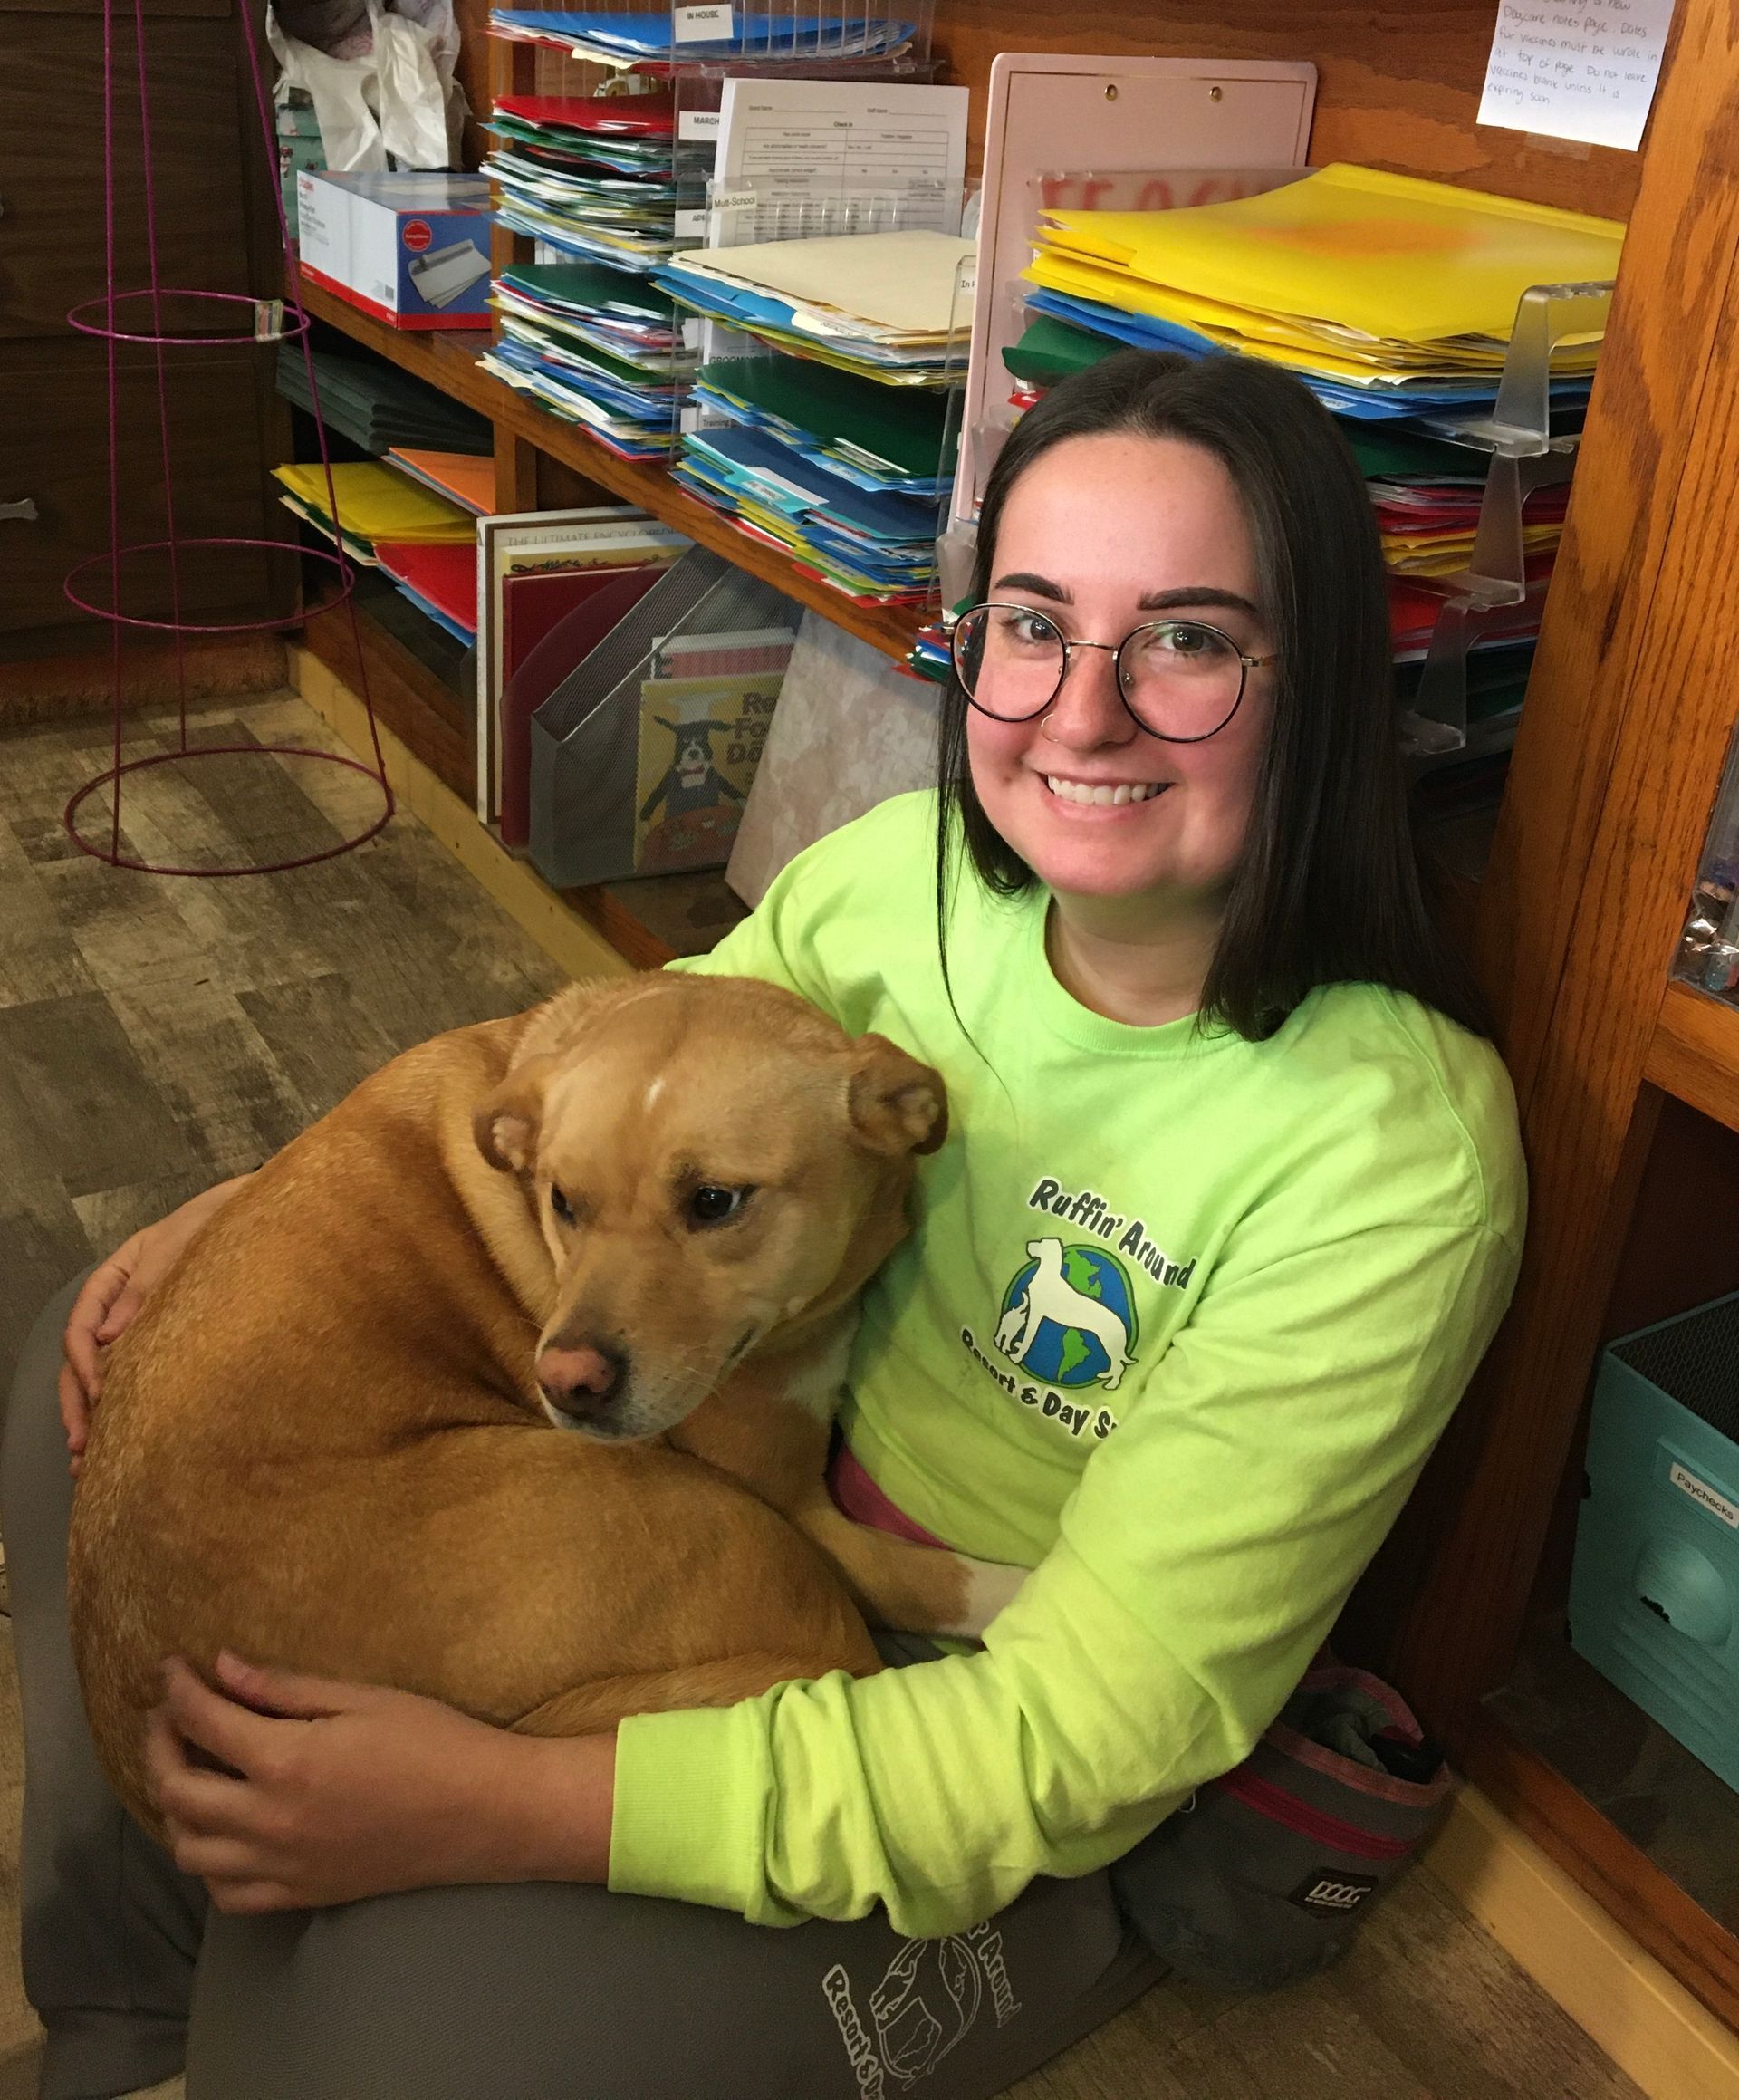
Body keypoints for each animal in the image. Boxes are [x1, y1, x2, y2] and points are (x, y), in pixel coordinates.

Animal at [71, 969, 1020, 1839]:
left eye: (715, 1201)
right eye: (563, 1202)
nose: (566, 1382)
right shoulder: (801, 1513)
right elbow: (947, 1577)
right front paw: (1021, 1586)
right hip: (730, 1535)